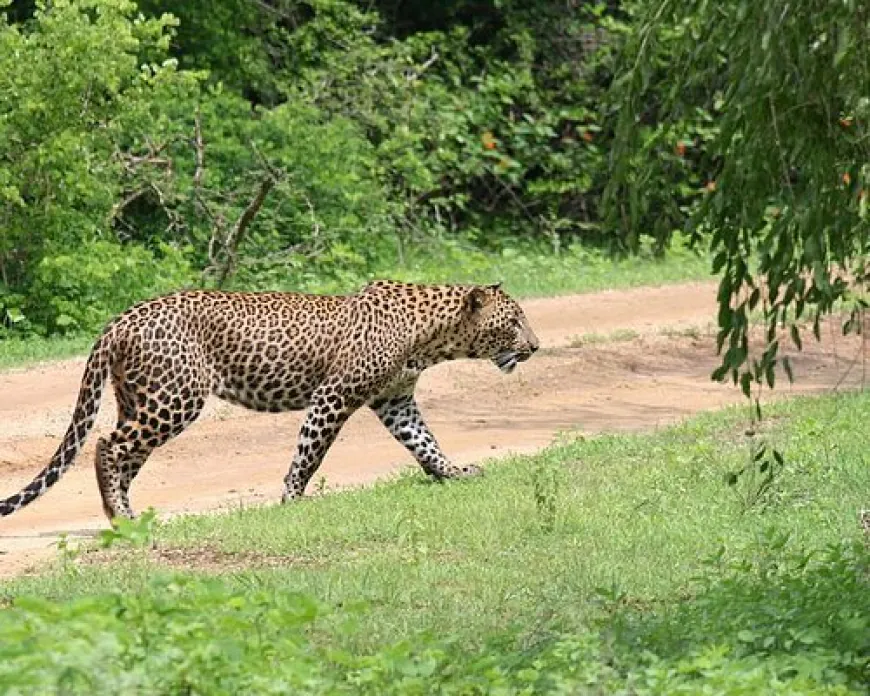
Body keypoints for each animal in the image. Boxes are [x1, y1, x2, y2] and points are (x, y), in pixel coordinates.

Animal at [0, 278, 540, 520]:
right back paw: (121, 516)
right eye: (514, 321)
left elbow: (425, 443)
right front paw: (292, 499)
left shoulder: (396, 402)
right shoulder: (334, 394)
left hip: (140, 399)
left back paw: (129, 519)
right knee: (107, 446)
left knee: (124, 455)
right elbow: (310, 452)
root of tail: (120, 319)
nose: (535, 347)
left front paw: (454, 472)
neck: (433, 338)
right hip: (174, 399)